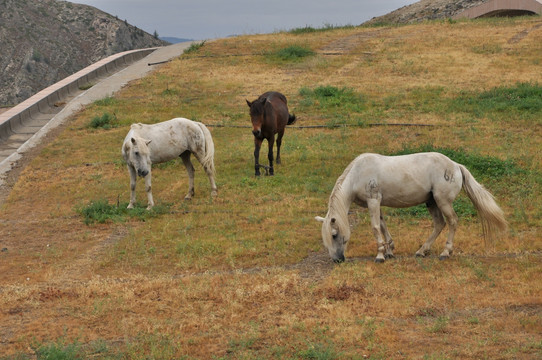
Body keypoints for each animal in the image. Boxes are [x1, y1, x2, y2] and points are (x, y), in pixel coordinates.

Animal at [316, 150, 512, 262]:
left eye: (334, 235)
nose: (337, 260)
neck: (358, 174)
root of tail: (456, 165)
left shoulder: (373, 201)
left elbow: (375, 227)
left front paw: (380, 255)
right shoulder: (377, 203)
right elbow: (383, 225)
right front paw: (390, 250)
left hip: (442, 201)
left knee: (452, 222)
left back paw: (445, 252)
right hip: (431, 202)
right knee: (439, 224)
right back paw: (422, 251)